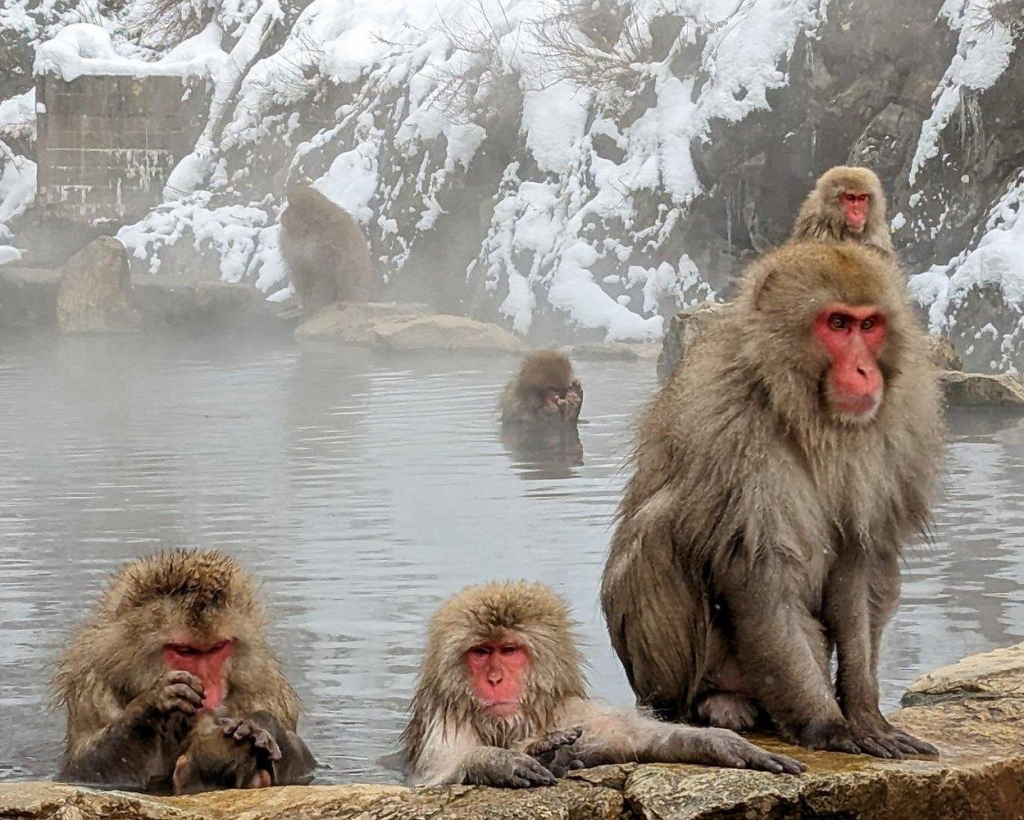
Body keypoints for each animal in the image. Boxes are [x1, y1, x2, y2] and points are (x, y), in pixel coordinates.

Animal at [53, 549, 316, 793]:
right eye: (185, 650)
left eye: (217, 648)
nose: (209, 689)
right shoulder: (93, 687)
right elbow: (82, 770)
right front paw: (156, 701)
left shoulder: (265, 687)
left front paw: (259, 725)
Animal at [279, 185, 374, 317]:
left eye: (291, 205)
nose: (282, 215)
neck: (310, 229)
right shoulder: (291, 248)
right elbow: (300, 272)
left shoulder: (329, 246)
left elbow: (325, 277)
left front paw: (314, 308)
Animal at [400, 580, 804, 787]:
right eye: (481, 652)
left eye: (509, 650)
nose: (495, 679)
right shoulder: (444, 719)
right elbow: (438, 773)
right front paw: (502, 761)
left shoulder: (568, 710)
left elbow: (633, 738)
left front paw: (718, 743)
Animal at [601, 241, 943, 760]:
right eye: (837, 324)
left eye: (869, 325)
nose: (865, 370)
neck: (804, 409)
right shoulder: (732, 427)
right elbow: (762, 569)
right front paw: (828, 725)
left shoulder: (896, 428)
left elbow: (860, 562)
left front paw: (866, 714)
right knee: (661, 526)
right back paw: (707, 703)